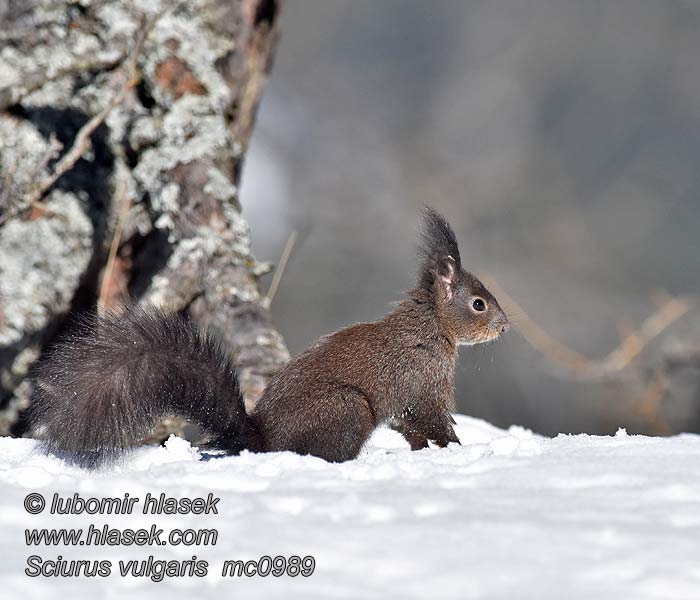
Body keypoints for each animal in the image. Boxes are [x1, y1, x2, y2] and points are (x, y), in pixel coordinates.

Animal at [30, 209, 508, 466]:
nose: (505, 326)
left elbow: (414, 429)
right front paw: (455, 449)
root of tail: (263, 441)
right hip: (348, 407)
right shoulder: (422, 381)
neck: (431, 326)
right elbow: (432, 420)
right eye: (479, 304)